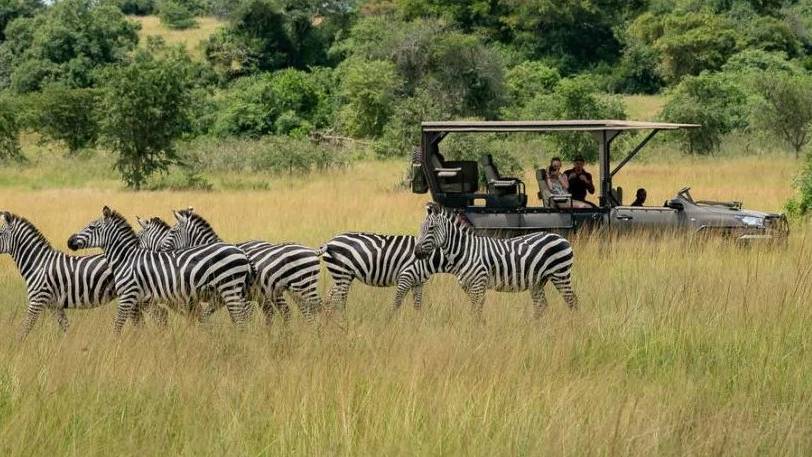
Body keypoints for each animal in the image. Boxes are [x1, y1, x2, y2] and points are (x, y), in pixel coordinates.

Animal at [0, 211, 165, 338]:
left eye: (0, 233)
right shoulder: (54, 305)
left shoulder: (37, 300)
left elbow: (24, 329)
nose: (70, 242)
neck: (39, 263)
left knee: (157, 316)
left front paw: (16, 350)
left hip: (139, 297)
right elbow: (66, 328)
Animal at [67, 206, 253, 333]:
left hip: (230, 288)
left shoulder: (128, 295)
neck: (126, 258)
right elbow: (152, 322)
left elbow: (118, 325)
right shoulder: (146, 299)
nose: (70, 241)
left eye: (92, 227)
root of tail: (241, 253)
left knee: (242, 319)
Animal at [158, 208, 322, 324]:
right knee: (302, 312)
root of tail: (313, 250)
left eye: (172, 231)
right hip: (294, 290)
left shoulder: (237, 296)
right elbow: (208, 315)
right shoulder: (222, 298)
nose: (159, 249)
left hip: (304, 286)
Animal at [318, 232, 451, 311]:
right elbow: (396, 304)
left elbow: (418, 305)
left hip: (343, 274)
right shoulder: (406, 276)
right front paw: (392, 324)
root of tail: (329, 242)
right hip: (342, 273)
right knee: (338, 301)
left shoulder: (418, 282)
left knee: (331, 296)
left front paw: (417, 324)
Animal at [413, 202, 578, 320]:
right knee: (542, 305)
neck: (466, 251)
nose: (416, 252)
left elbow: (476, 312)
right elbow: (476, 311)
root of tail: (561, 238)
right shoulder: (469, 287)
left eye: (431, 228)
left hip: (560, 274)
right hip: (537, 281)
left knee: (572, 300)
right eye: (421, 227)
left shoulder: (478, 284)